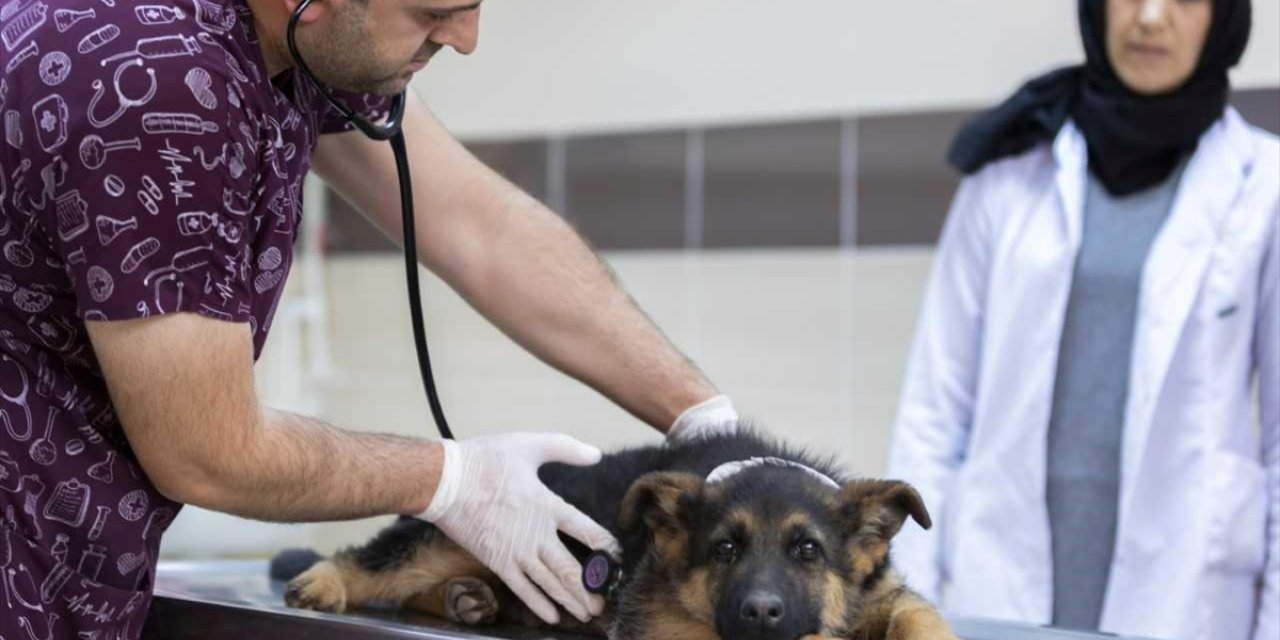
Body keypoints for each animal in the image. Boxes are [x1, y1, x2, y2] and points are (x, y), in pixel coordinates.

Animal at [275, 430, 957, 640]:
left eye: (808, 550)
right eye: (725, 550)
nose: (761, 613)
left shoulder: (878, 591)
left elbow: (916, 613)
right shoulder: (664, 619)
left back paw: (471, 599)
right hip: (450, 536)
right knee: (379, 561)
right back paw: (325, 582)